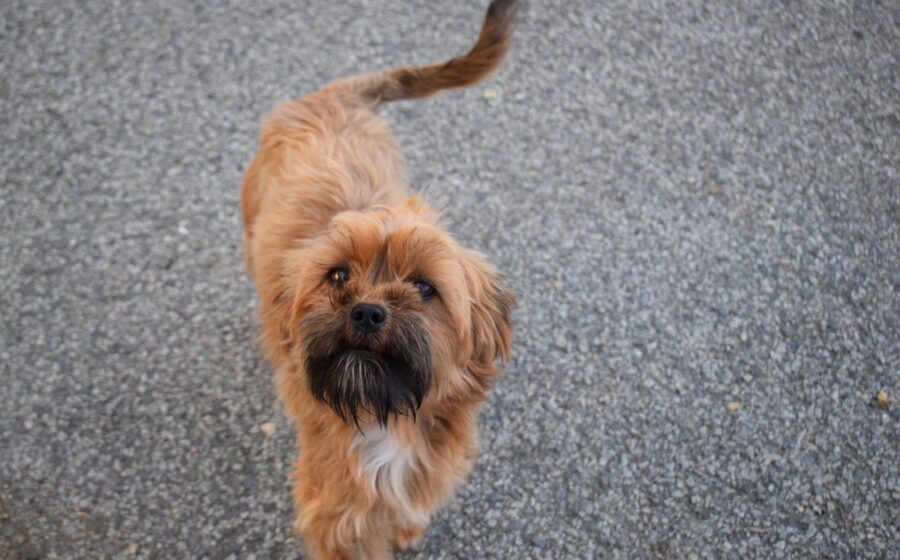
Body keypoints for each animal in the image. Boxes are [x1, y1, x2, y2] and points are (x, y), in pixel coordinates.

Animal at [240, 1, 518, 557]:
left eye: (425, 288)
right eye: (337, 275)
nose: (366, 311)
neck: (387, 418)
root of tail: (334, 94)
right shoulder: (338, 512)